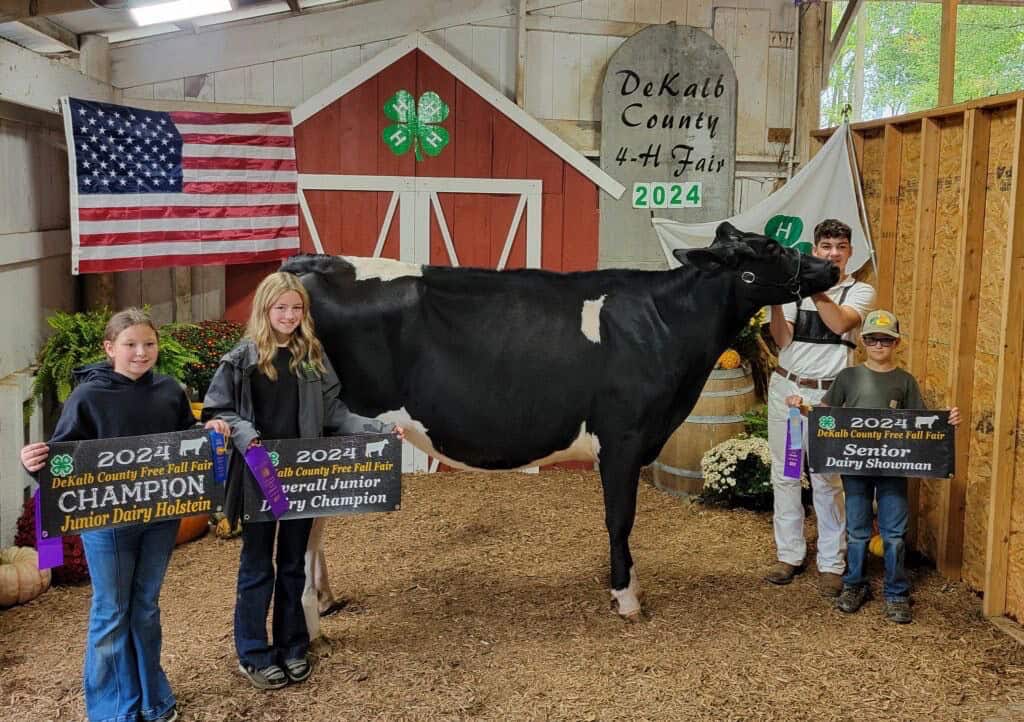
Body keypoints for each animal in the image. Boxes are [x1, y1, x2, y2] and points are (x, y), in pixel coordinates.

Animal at [282, 221, 839, 618]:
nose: (830, 268)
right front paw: (626, 596)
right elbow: (620, 518)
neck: (665, 323)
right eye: (772, 248)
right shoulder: (623, 437)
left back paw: (327, 600)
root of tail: (313, 263)